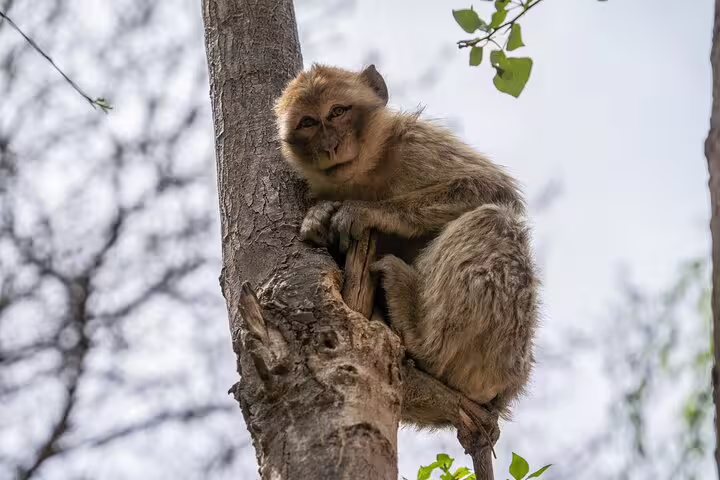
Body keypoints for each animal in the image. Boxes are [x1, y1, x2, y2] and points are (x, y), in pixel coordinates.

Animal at [273, 64, 539, 428]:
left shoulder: (415, 144)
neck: (365, 174)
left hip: (502, 356)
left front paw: (367, 211)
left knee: (492, 221)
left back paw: (423, 340)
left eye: (338, 112)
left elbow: (492, 190)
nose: (330, 144)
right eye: (309, 122)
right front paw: (320, 216)